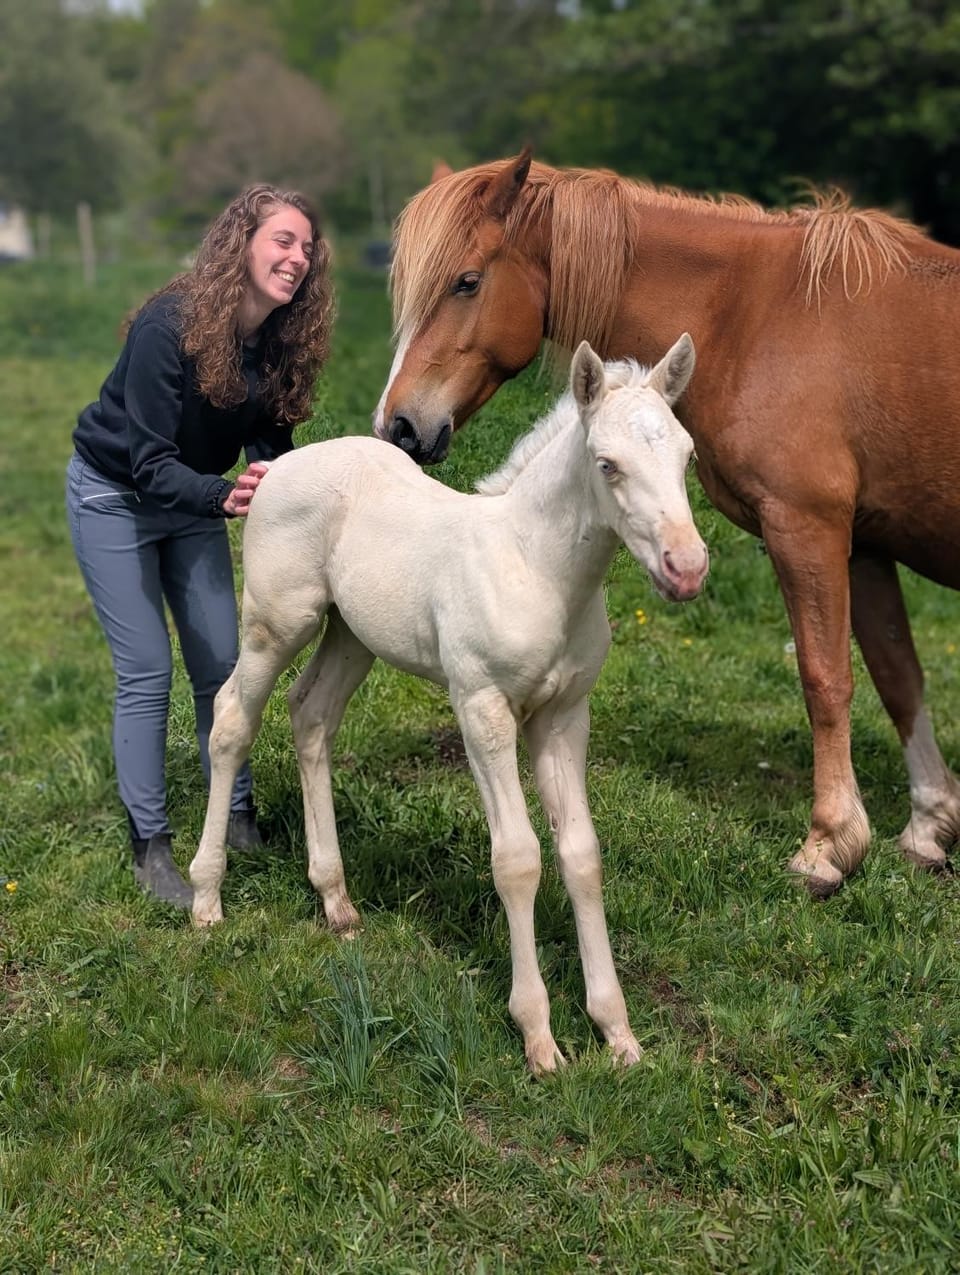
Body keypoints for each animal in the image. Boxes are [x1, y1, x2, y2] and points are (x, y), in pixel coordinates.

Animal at [190, 337, 708, 1073]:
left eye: (687, 456)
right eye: (608, 464)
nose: (687, 568)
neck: (537, 568)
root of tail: (275, 468)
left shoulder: (564, 716)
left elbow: (580, 853)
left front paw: (617, 1033)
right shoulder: (481, 705)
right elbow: (517, 858)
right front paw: (539, 1038)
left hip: (353, 634)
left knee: (311, 714)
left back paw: (335, 899)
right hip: (277, 620)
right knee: (234, 718)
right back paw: (206, 897)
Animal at [374, 148, 960, 899]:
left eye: (467, 281)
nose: (398, 425)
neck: (753, 312)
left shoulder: (808, 528)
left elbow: (826, 679)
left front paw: (829, 844)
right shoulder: (865, 544)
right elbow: (898, 676)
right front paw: (928, 827)